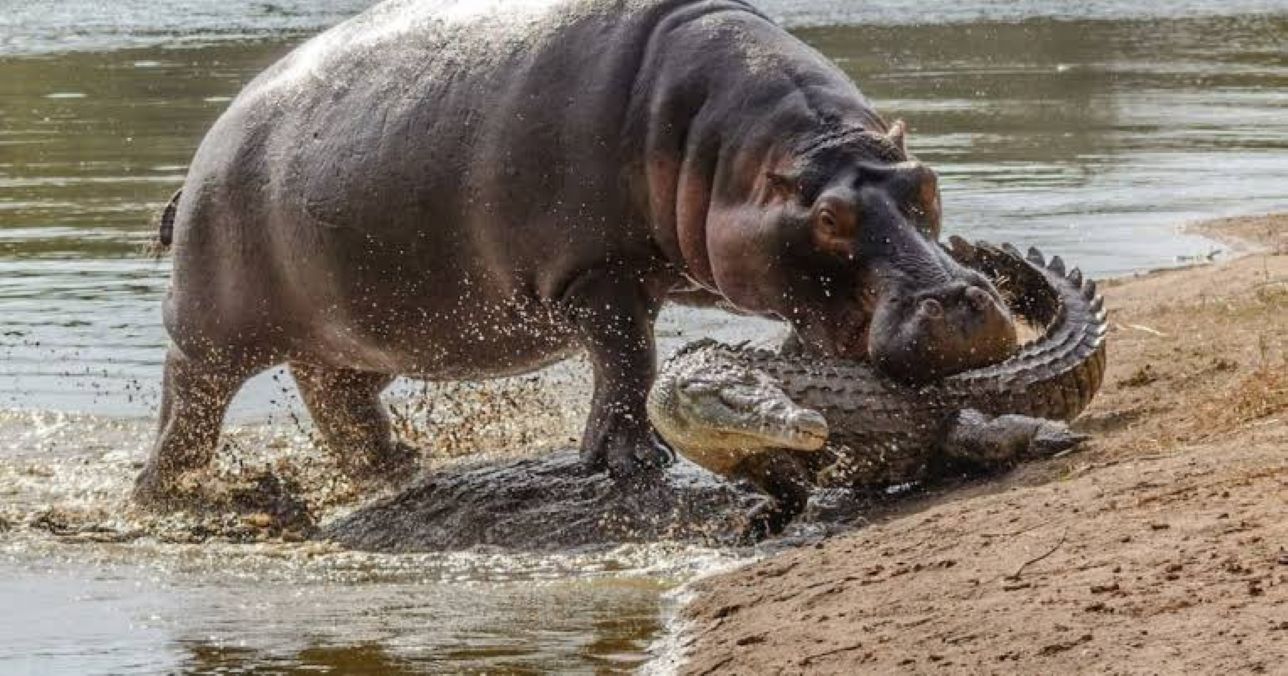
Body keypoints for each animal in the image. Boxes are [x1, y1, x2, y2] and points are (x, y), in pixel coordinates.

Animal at [130, 0, 1014, 504]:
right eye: (830, 218)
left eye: (926, 182)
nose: (964, 302)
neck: (730, 154)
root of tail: (205, 151)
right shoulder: (597, 274)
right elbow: (627, 361)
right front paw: (631, 463)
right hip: (216, 327)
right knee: (190, 398)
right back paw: (168, 494)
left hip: (351, 330)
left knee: (336, 395)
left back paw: (397, 468)